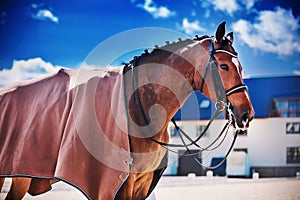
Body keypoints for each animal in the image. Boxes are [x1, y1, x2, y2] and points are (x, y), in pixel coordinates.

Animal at [0, 21, 254, 199]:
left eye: (241, 66)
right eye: (224, 66)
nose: (246, 114)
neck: (142, 105)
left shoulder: (143, 183)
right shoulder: (121, 184)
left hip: (22, 174)